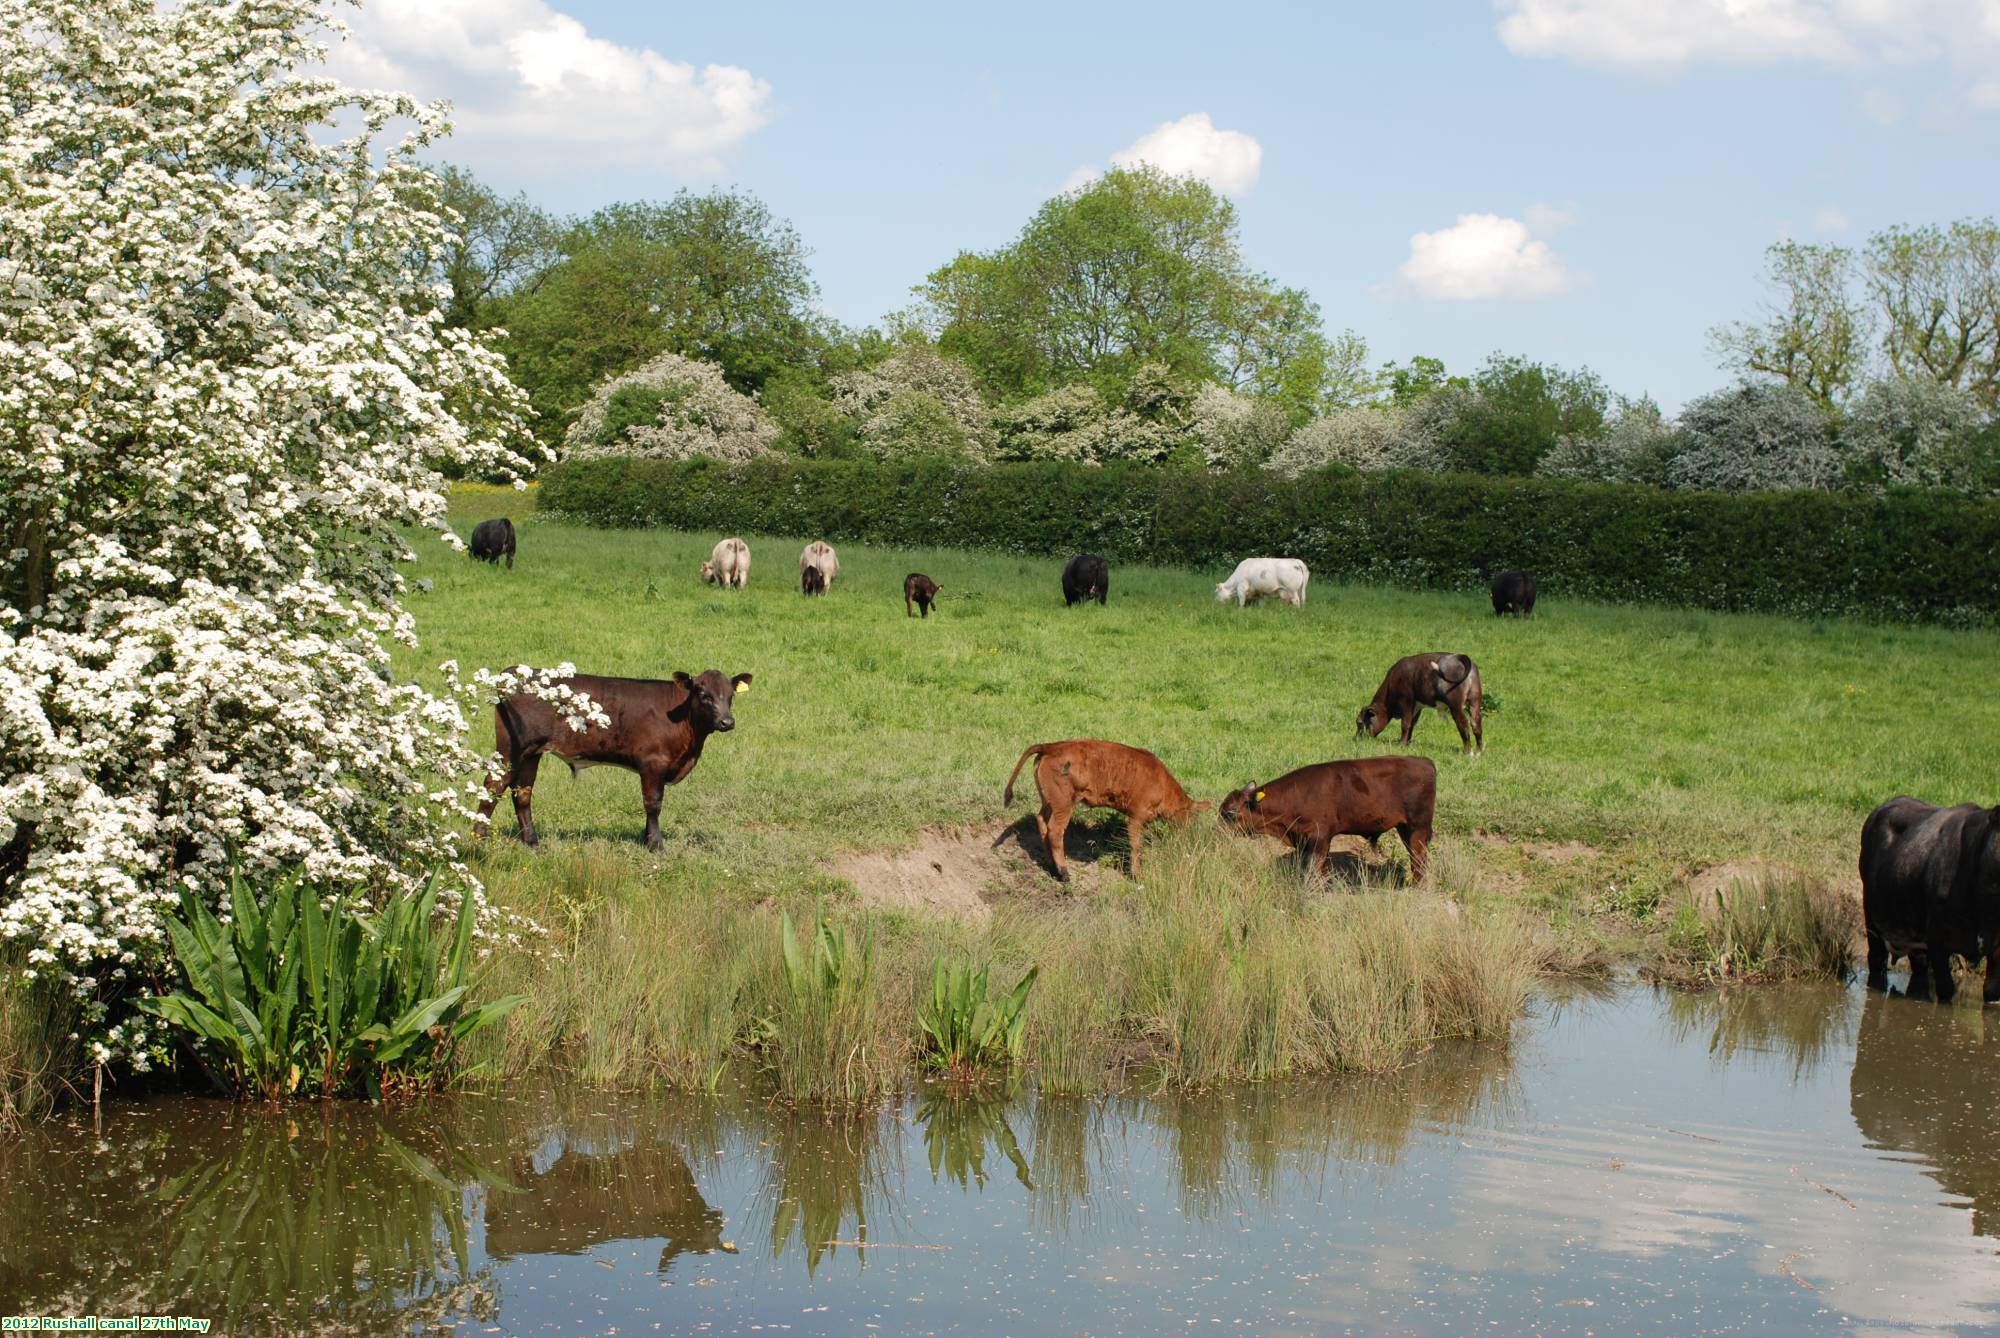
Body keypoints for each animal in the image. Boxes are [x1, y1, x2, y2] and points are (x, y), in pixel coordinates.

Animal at [474, 668, 752, 856]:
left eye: (730, 696)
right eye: (704, 694)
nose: (727, 722)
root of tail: (512, 672)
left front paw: (646, 839)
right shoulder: (653, 763)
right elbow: (653, 804)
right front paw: (656, 845)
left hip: (531, 753)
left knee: (522, 792)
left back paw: (532, 842)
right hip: (511, 748)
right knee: (493, 785)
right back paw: (478, 839)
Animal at [1000, 736, 1200, 880]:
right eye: (1190, 817)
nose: (1188, 835)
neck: (1162, 783)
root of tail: (1051, 746)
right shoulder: (1136, 817)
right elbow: (1137, 846)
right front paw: (1137, 876)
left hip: (1050, 801)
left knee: (1041, 820)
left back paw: (1052, 867)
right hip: (1064, 804)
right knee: (1055, 830)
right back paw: (1064, 873)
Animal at [1216, 756, 1440, 880]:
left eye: (1230, 812)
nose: (1217, 831)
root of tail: (1425, 761)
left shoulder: (1320, 838)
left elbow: (1315, 869)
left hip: (1418, 828)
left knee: (1419, 860)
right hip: (1405, 828)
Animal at [1360, 656, 1488, 756]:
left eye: (1359, 722)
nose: (1357, 739)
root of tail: (1460, 657)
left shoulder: (1406, 701)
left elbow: (1405, 724)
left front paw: (1402, 745)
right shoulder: (1417, 706)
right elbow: (1412, 724)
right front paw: (1407, 743)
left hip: (1456, 706)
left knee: (1463, 725)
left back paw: (1468, 753)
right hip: (1475, 701)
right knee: (1476, 725)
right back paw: (1479, 752)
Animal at [1856, 792, 2000, 1000]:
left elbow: (1991, 989)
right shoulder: (1937, 941)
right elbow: (1946, 989)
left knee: (1919, 968)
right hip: (1872, 918)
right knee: (1877, 962)